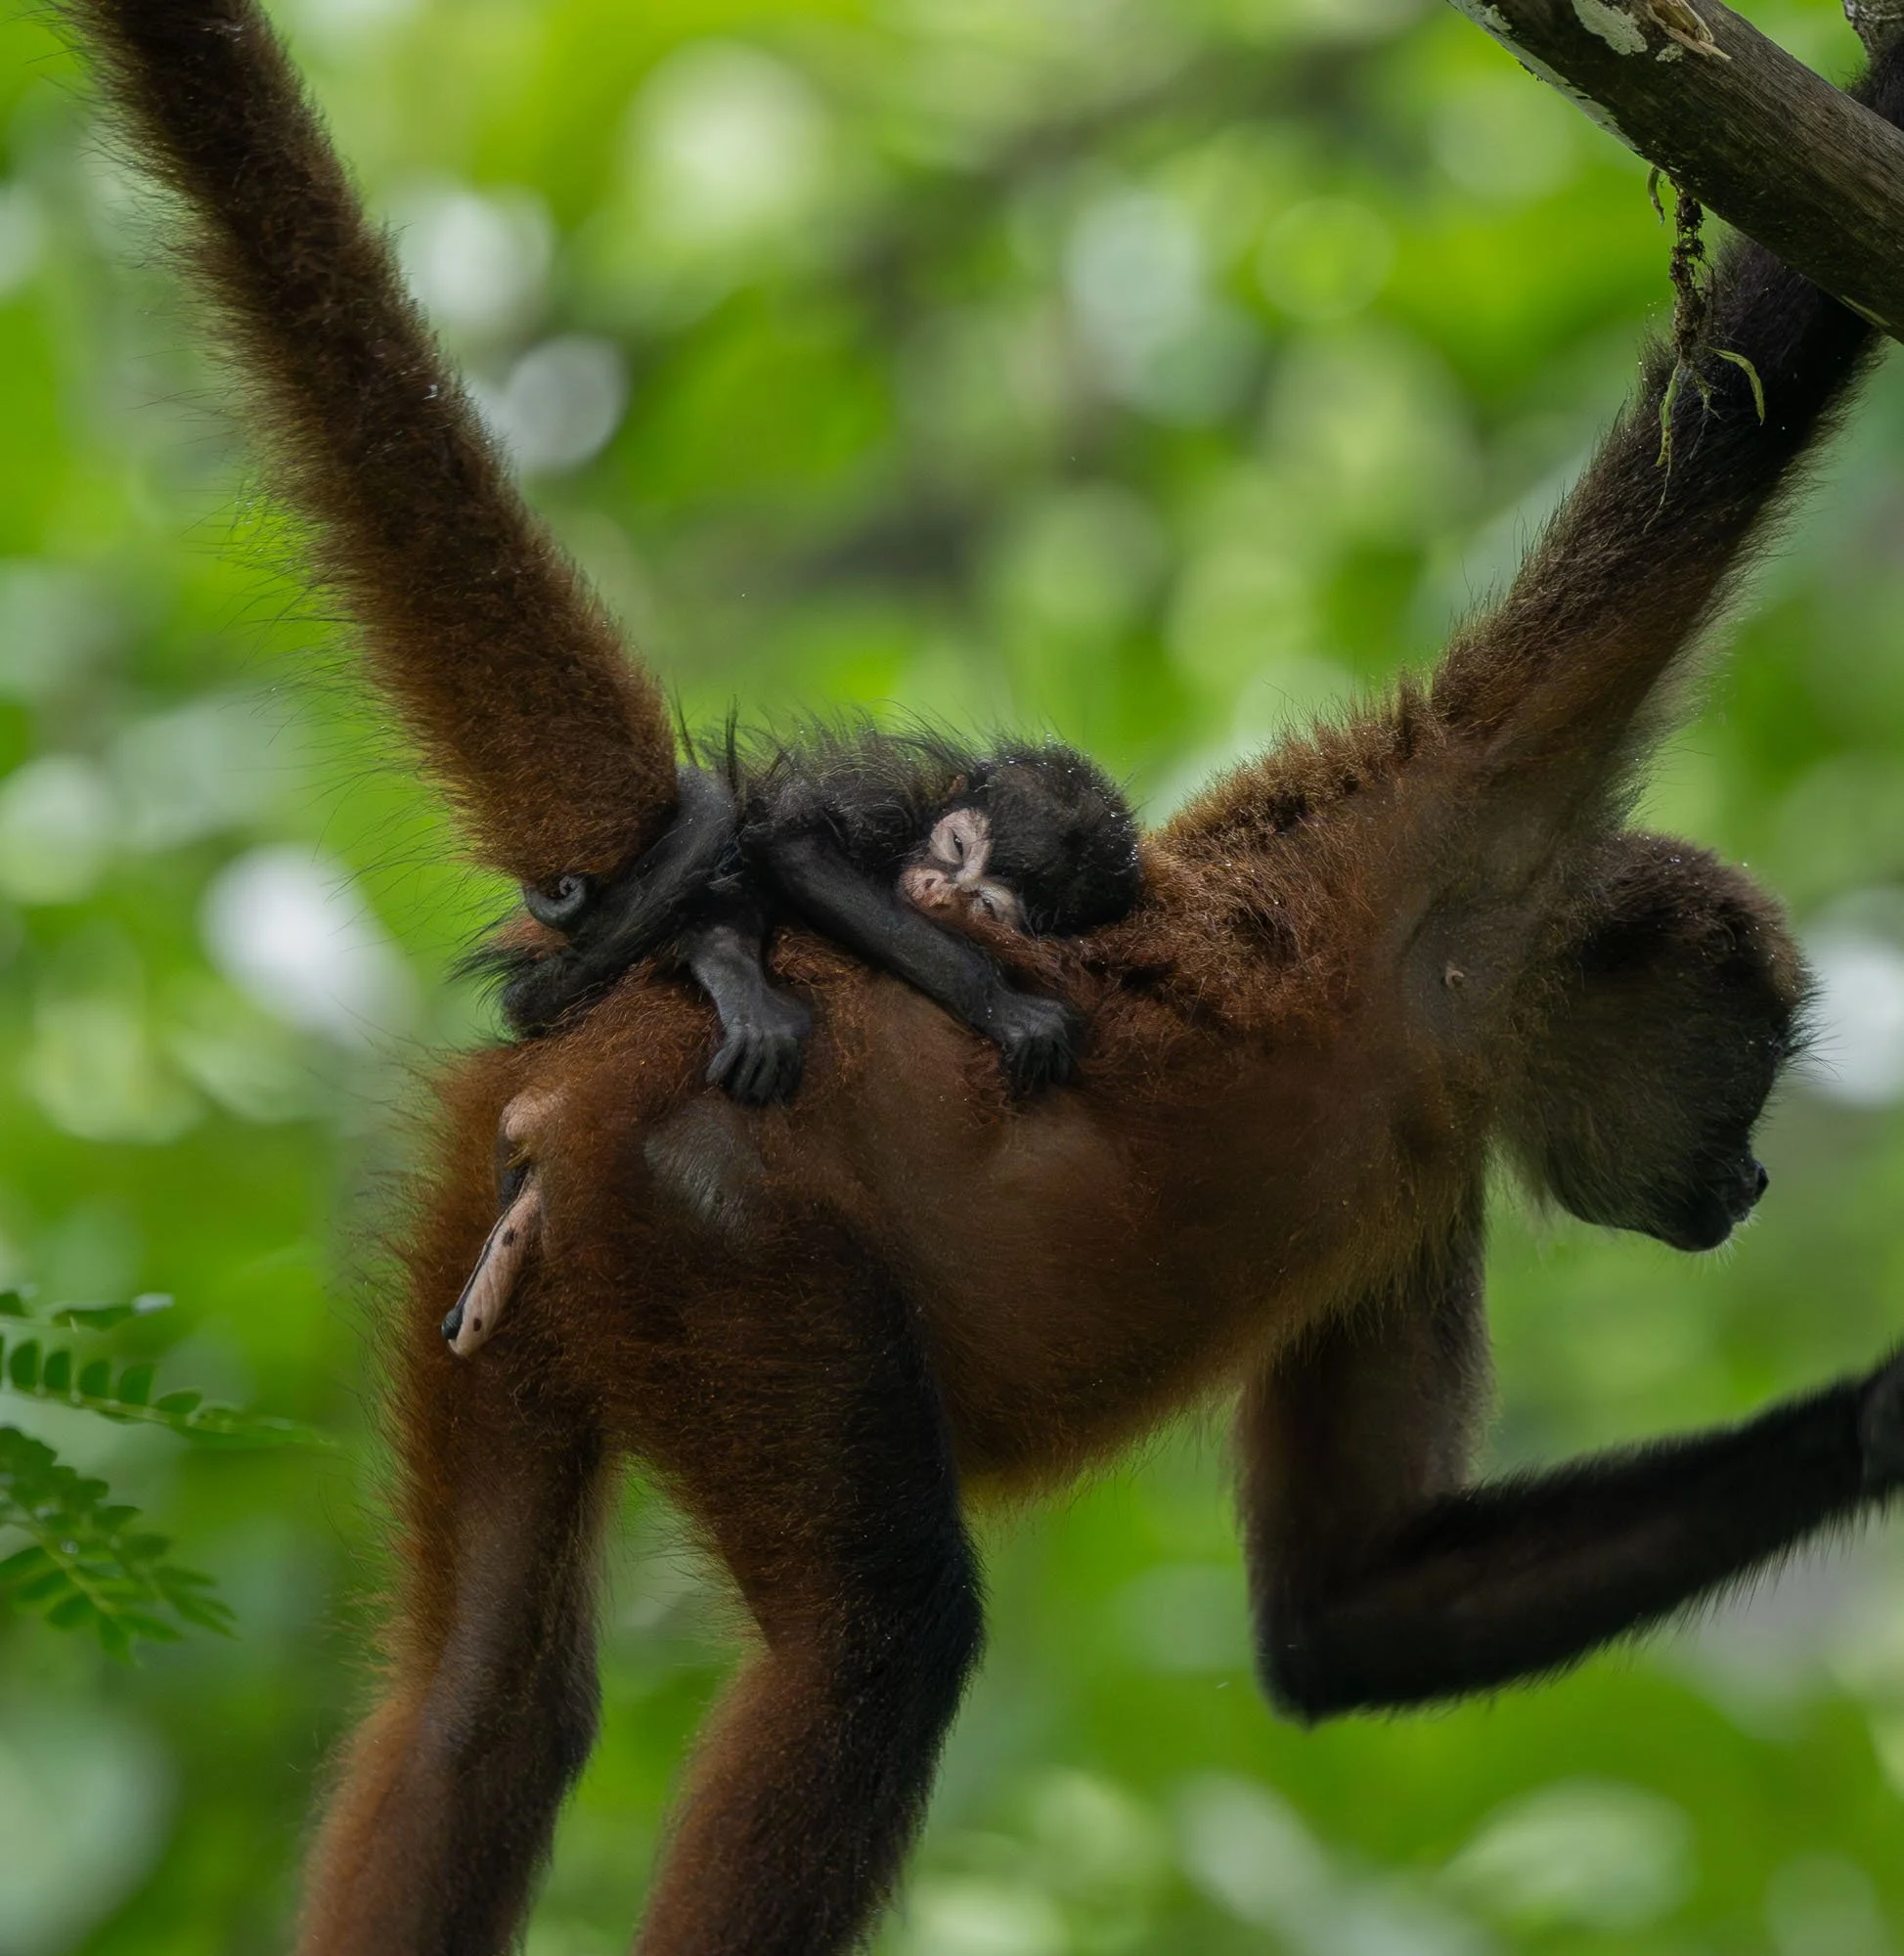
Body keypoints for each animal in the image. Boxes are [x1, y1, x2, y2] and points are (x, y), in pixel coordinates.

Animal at [499, 727, 1144, 1105]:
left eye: (984, 903)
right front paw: (1005, 1007)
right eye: (958, 846)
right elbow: (795, 847)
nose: (940, 889)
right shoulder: (885, 801)